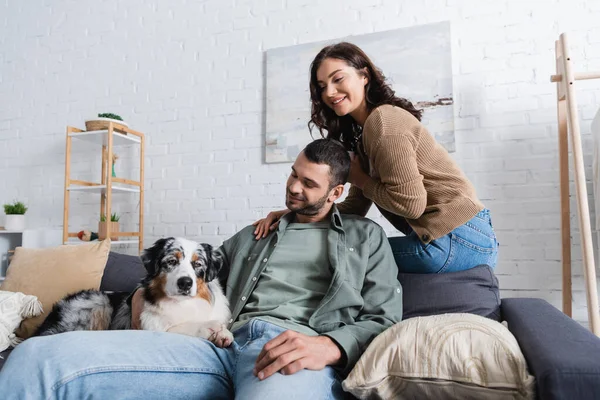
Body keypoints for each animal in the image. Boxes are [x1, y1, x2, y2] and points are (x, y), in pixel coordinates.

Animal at [34, 238, 233, 346]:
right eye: (171, 261)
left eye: (197, 264)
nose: (185, 283)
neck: (183, 304)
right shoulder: (151, 324)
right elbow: (178, 327)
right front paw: (209, 328)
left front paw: (223, 334)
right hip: (98, 301)